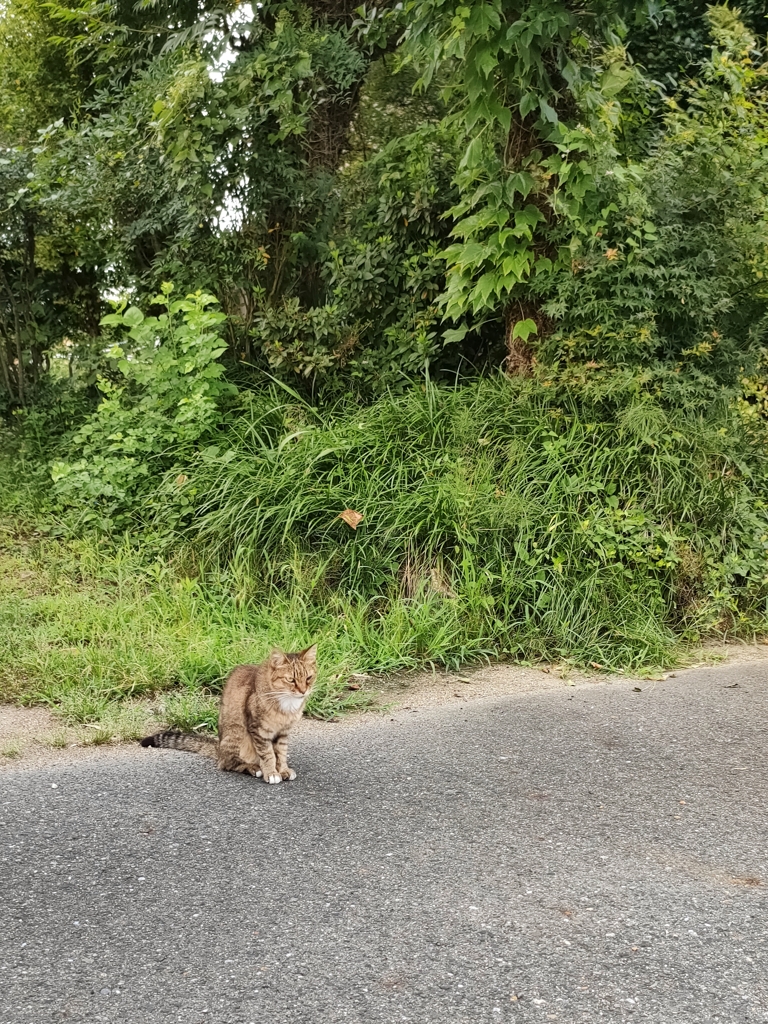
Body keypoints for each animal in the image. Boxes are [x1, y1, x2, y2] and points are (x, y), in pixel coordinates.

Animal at [140, 647, 317, 782]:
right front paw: (271, 773)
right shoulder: (258, 729)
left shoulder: (283, 732)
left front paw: (283, 769)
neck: (287, 704)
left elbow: (281, 753)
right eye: (291, 680)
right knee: (228, 764)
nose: (303, 691)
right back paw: (253, 768)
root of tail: (218, 748)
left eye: (309, 678)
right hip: (237, 735)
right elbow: (268, 754)